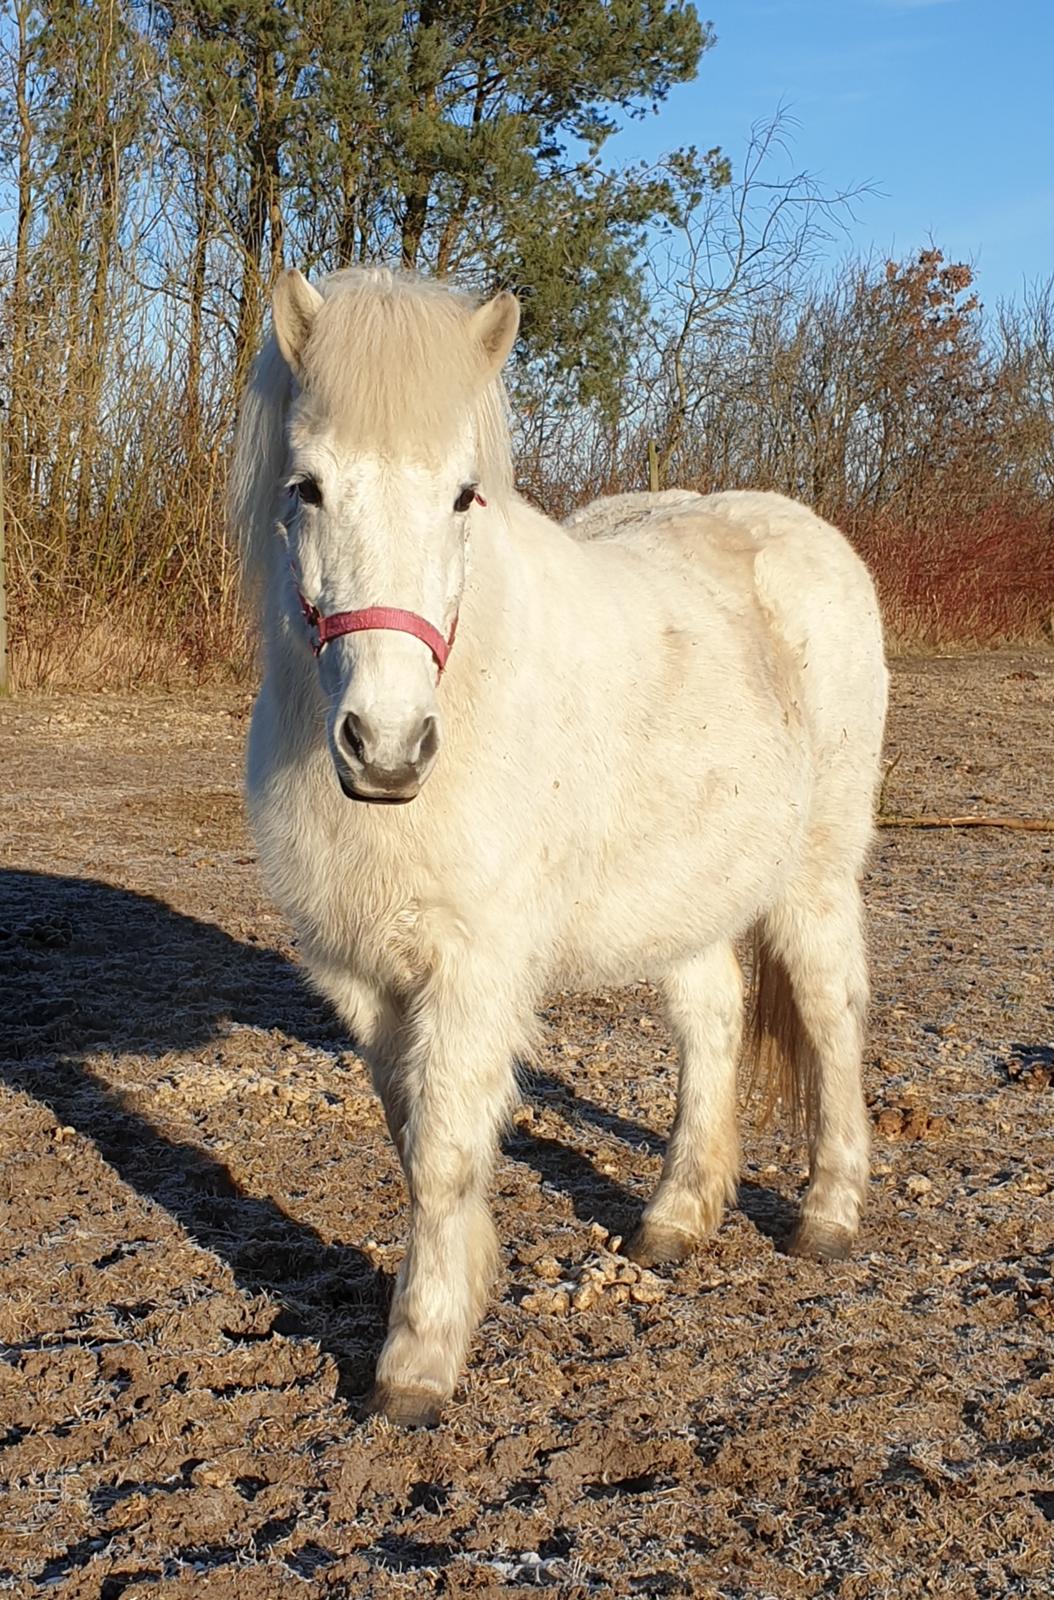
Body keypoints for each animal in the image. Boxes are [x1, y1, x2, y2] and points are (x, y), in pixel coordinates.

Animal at [233, 265, 889, 1427]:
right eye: (307, 487)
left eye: (463, 495)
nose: (387, 748)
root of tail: (802, 528)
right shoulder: (363, 975)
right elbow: (412, 1136)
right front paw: (461, 1290)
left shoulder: (477, 967)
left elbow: (445, 1153)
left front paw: (418, 1361)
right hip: (690, 890)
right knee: (713, 1023)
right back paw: (677, 1219)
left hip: (813, 875)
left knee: (830, 1017)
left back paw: (827, 1215)